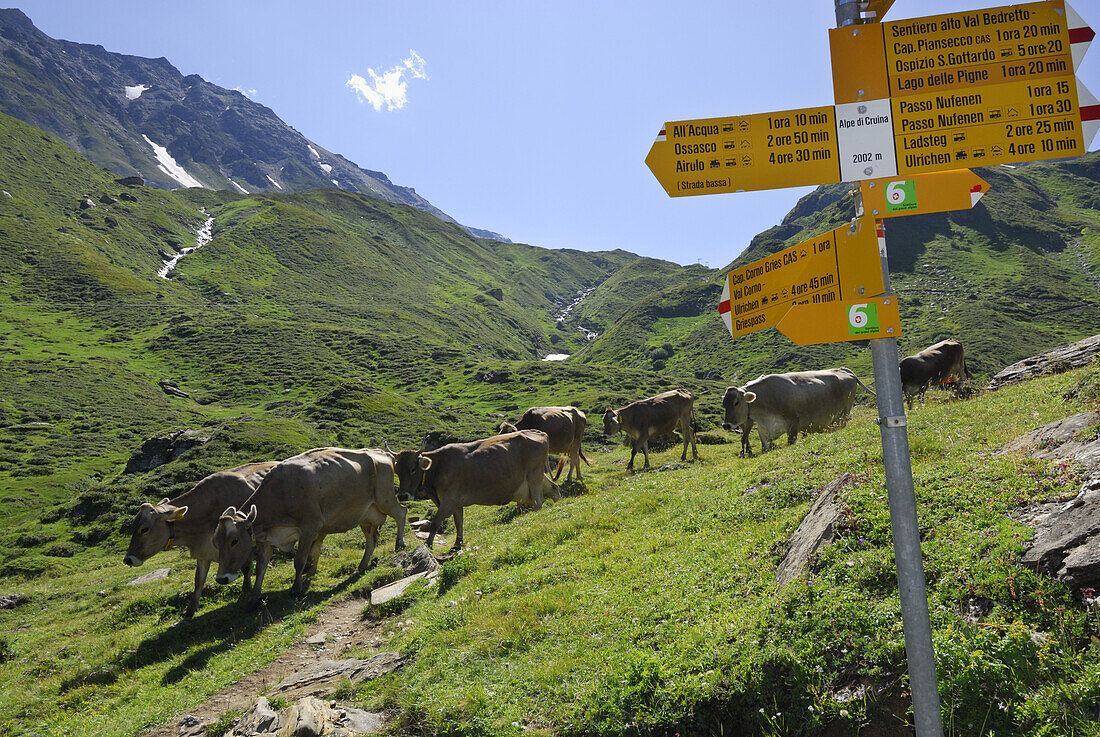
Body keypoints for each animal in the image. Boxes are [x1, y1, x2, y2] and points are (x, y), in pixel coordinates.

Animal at [123, 462, 277, 616]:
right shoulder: (203, 550)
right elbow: (199, 579)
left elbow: (245, 567)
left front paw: (246, 591)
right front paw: (190, 609)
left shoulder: (243, 543)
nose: (128, 559)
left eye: (144, 529)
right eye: (132, 526)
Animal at [212, 446, 407, 607]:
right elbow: (261, 567)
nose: (221, 578)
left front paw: (296, 588)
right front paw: (254, 597)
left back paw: (400, 543)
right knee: (372, 539)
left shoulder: (309, 527)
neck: (280, 492)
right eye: (216, 543)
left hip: (385, 498)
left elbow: (299, 560)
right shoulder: (266, 537)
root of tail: (381, 452)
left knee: (401, 513)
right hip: (365, 514)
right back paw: (362, 564)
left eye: (234, 541)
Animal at [391, 431, 558, 552]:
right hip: (535, 477)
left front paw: (429, 544)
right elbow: (459, 522)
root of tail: (539, 433)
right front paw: (457, 544)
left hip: (534, 475)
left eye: (413, 469)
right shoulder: (455, 502)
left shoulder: (448, 500)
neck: (438, 466)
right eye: (397, 471)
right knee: (553, 487)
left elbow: (435, 522)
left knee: (538, 502)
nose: (402, 495)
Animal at [721, 369, 875, 455]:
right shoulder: (763, 430)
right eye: (723, 405)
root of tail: (845, 371)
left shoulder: (793, 424)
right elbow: (764, 447)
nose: (726, 425)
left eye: (736, 402)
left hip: (843, 413)